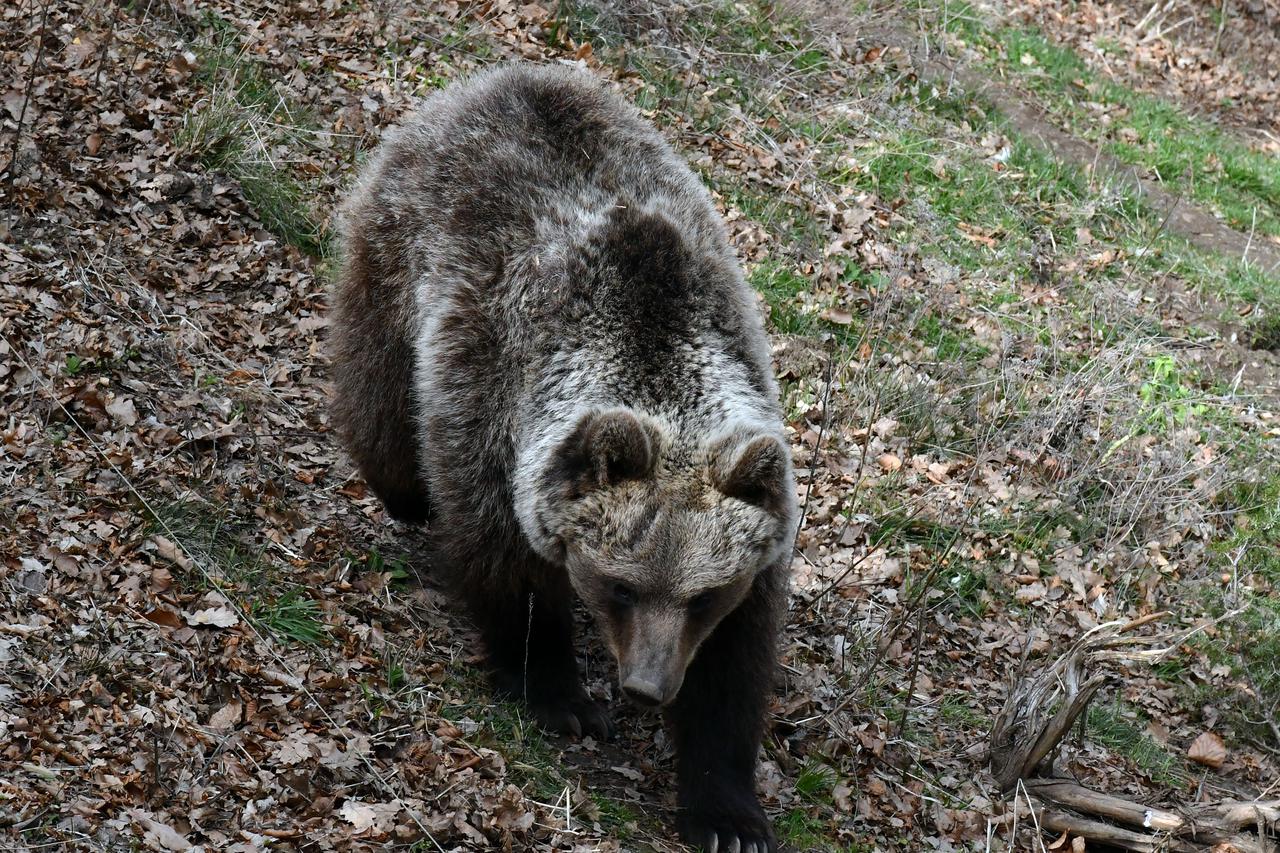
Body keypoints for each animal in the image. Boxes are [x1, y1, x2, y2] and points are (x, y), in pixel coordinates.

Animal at [327, 61, 788, 850]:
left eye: (702, 595)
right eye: (620, 585)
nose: (647, 686)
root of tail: (500, 77)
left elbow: (733, 668)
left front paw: (729, 813)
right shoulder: (492, 399)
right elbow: (505, 560)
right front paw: (557, 693)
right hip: (400, 245)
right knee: (379, 385)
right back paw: (401, 490)